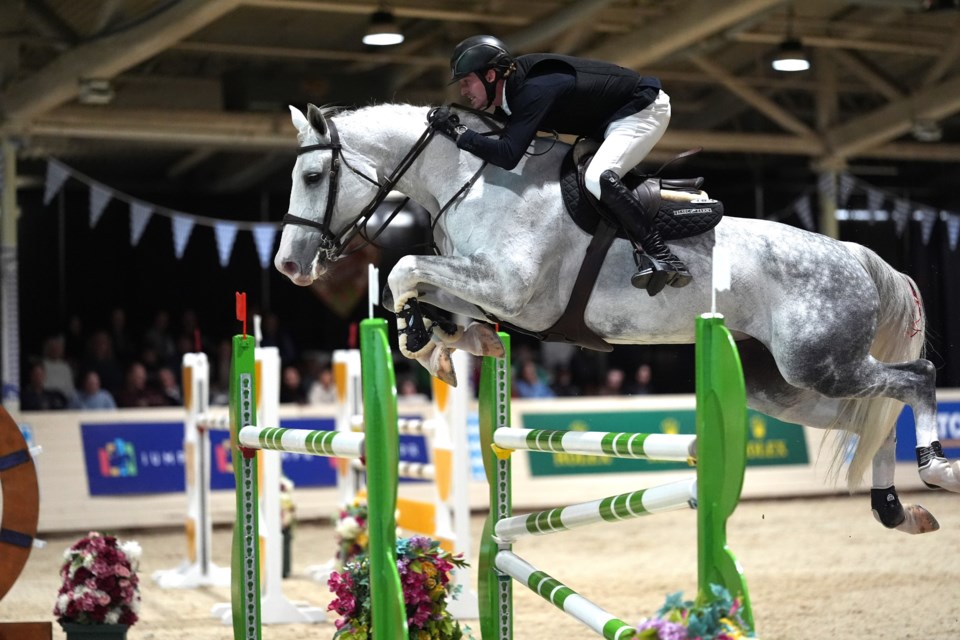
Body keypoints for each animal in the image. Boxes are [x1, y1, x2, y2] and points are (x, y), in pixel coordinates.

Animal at [274, 104, 956, 536]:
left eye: (312, 174)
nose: (288, 265)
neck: (475, 180)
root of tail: (857, 255)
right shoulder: (492, 292)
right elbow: (423, 287)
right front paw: (447, 342)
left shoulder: (514, 292)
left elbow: (403, 268)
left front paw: (430, 340)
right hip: (783, 385)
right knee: (869, 416)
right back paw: (897, 510)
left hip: (822, 363)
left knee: (914, 380)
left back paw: (937, 469)